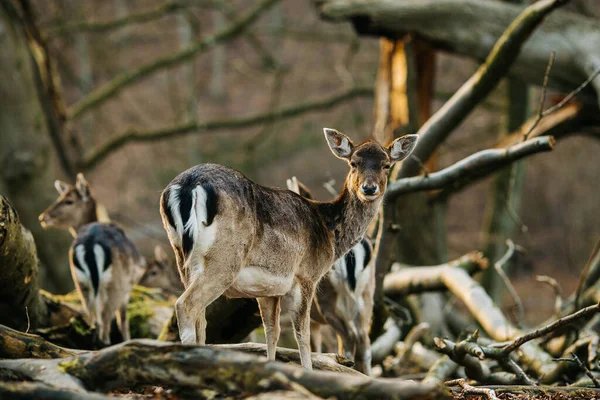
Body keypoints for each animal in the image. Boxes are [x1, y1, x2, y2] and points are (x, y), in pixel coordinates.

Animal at [38, 173, 145, 344]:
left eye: (68, 200)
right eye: (61, 196)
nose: (43, 217)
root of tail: (90, 245)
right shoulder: (128, 286)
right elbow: (123, 321)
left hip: (81, 283)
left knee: (94, 319)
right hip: (115, 284)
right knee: (106, 321)